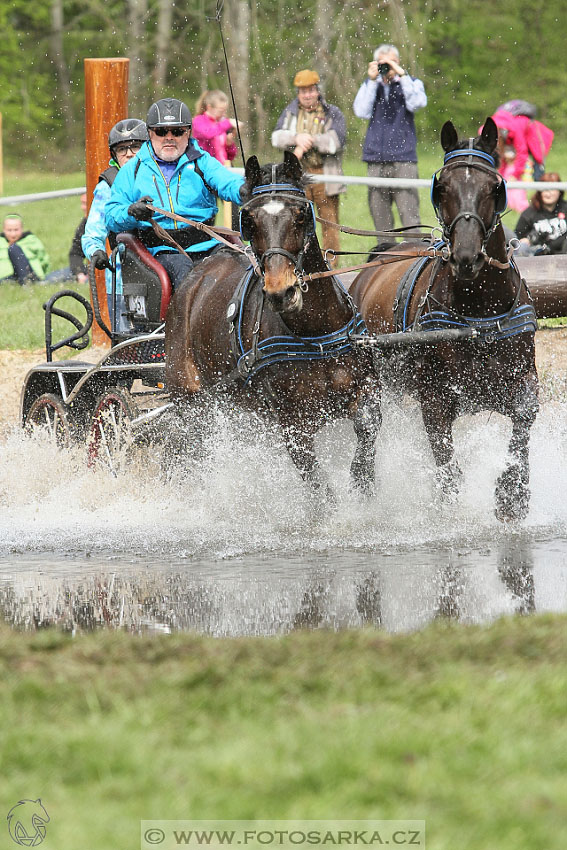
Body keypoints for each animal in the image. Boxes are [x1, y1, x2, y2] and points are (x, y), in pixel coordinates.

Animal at [350, 116, 540, 520]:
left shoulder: (521, 377)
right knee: (370, 424)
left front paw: (512, 493)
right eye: (443, 188)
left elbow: (523, 418)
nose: (466, 256)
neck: (479, 316)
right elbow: (446, 463)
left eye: (493, 187)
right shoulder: (434, 399)